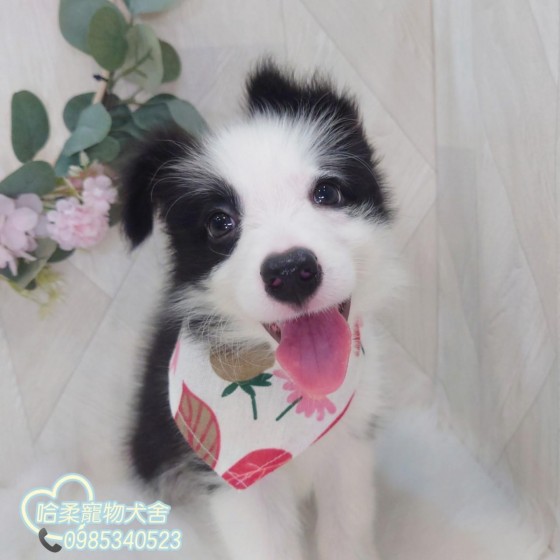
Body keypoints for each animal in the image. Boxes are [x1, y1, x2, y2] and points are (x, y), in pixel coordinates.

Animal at [120, 61, 401, 560]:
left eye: (327, 192)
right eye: (219, 223)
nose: (290, 271)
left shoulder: (349, 450)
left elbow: (347, 531)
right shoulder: (237, 482)